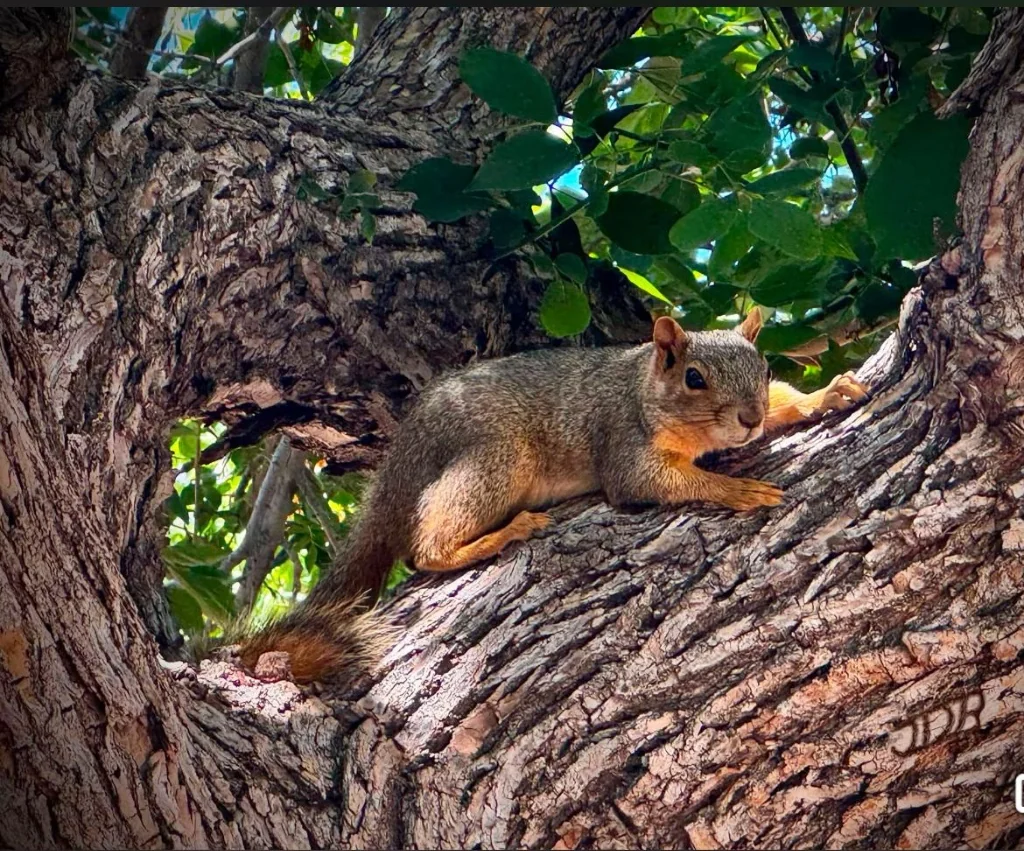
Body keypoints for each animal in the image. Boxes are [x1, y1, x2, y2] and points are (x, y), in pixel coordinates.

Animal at [238, 309, 868, 683]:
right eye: (694, 379)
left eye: (763, 368)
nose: (748, 418)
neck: (643, 386)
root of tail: (396, 471)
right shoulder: (624, 441)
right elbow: (649, 482)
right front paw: (735, 488)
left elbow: (788, 403)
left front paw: (824, 395)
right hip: (496, 457)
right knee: (425, 549)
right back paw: (494, 537)